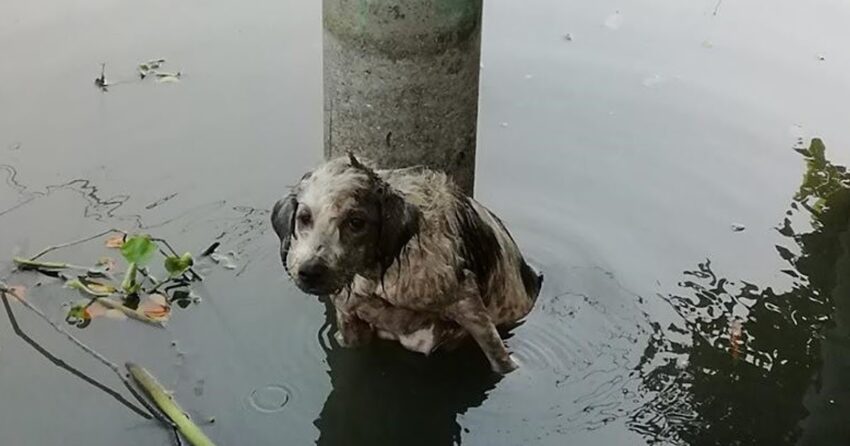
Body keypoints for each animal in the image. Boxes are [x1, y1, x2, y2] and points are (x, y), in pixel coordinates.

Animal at [268, 154, 540, 372]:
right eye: (304, 218)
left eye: (356, 222)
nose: (310, 271)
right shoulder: (349, 320)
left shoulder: (469, 305)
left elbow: (502, 362)